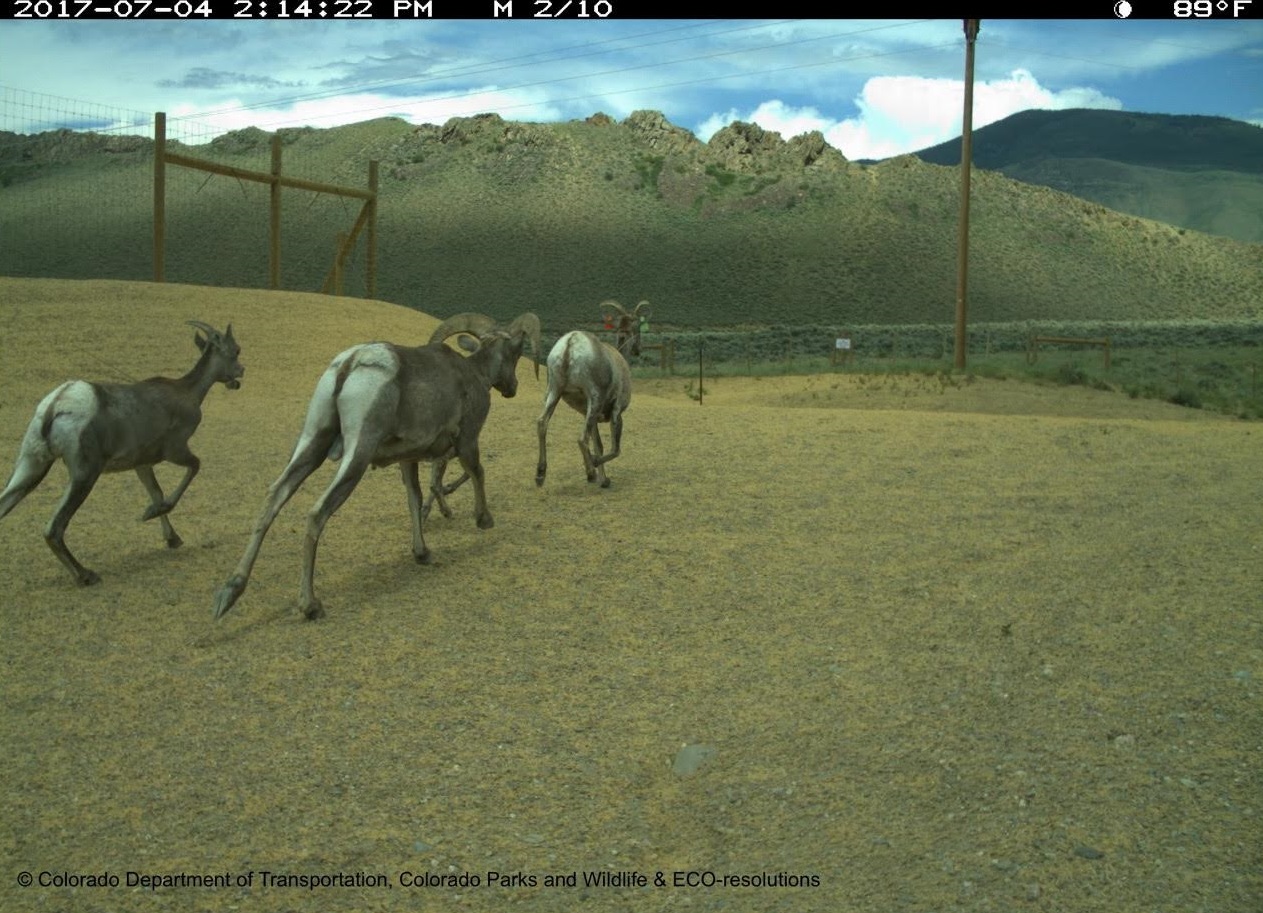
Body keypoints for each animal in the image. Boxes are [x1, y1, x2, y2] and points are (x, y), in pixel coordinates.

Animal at [0, 321, 244, 586]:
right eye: (236, 350)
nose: (241, 372)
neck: (186, 392)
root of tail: (56, 405)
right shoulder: (175, 450)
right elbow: (193, 468)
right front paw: (150, 514)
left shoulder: (142, 464)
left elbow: (156, 492)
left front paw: (172, 538)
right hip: (84, 474)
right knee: (54, 528)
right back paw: (86, 576)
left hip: (32, 465)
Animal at [211, 312, 540, 622]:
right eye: (516, 352)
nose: (512, 388)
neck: (474, 374)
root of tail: (351, 364)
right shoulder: (468, 440)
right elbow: (477, 472)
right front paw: (484, 520)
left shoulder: (407, 458)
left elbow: (414, 498)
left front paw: (422, 553)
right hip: (358, 452)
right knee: (318, 511)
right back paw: (311, 606)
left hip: (312, 441)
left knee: (274, 496)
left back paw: (229, 593)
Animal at [535, 329, 632, 489]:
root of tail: (571, 342)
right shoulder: (616, 412)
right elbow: (615, 450)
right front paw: (601, 475)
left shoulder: (591, 418)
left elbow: (599, 445)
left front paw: (604, 480)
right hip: (594, 400)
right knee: (581, 439)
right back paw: (591, 472)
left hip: (554, 392)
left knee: (542, 423)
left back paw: (540, 475)